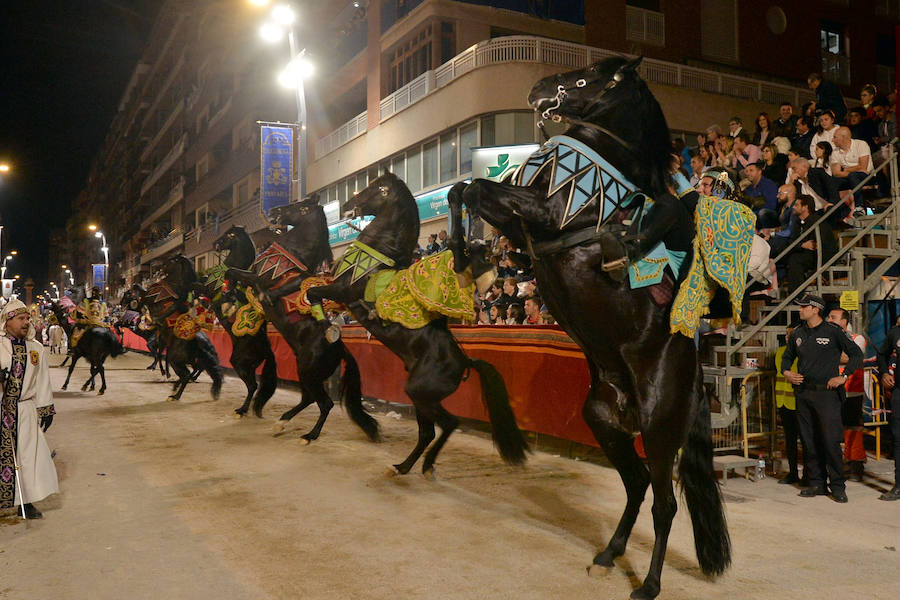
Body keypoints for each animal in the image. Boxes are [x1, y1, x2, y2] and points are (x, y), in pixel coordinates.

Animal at [144, 254, 223, 404]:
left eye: (170, 260)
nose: (157, 269)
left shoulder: (152, 302)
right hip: (186, 360)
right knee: (188, 373)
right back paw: (175, 390)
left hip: (176, 360)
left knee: (185, 375)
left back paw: (175, 395)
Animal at [221, 210, 380, 440]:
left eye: (229, 234)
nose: (215, 244)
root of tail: (340, 348)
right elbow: (234, 277)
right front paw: (228, 298)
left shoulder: (257, 279)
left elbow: (233, 272)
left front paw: (227, 299)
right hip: (304, 371)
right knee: (308, 399)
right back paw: (281, 423)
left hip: (309, 374)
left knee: (325, 403)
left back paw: (310, 435)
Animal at [302, 175, 528, 478]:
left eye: (377, 188)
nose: (347, 206)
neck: (379, 254)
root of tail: (465, 361)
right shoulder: (340, 296)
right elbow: (313, 293)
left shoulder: (343, 291)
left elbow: (314, 293)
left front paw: (327, 327)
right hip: (423, 398)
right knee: (429, 432)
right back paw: (409, 466)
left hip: (420, 392)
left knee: (448, 423)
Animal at [450, 54, 732, 596]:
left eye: (586, 78)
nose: (539, 88)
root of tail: (696, 381)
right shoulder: (521, 219)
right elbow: (466, 190)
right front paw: (467, 257)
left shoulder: (547, 212)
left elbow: (475, 188)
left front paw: (473, 260)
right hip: (603, 419)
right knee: (637, 483)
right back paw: (608, 553)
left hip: (660, 427)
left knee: (664, 502)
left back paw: (649, 583)